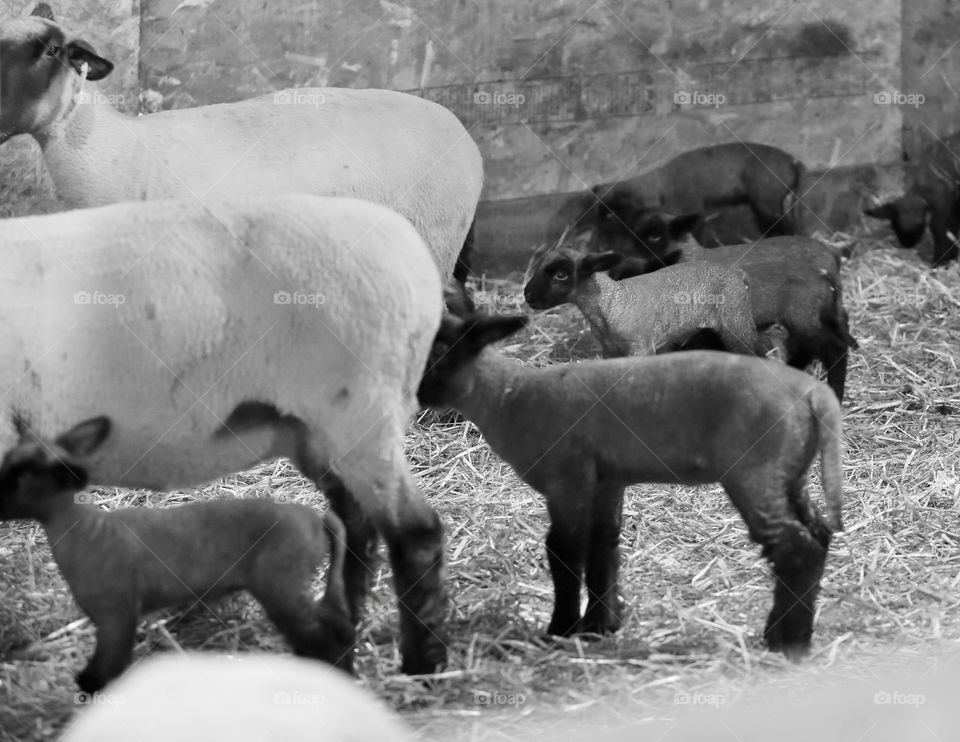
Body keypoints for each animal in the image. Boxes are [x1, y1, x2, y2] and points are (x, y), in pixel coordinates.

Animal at [0, 416, 355, 692]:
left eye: (22, 478)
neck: (86, 531)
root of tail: (316, 520)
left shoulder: (116, 616)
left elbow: (103, 673)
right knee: (335, 626)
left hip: (282, 585)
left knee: (324, 639)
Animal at [418, 313, 844, 659]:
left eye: (438, 351)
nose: (415, 393)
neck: (510, 396)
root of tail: (813, 394)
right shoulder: (605, 480)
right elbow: (603, 545)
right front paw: (600, 627)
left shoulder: (567, 479)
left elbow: (563, 551)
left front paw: (561, 630)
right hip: (790, 472)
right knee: (818, 535)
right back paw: (789, 632)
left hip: (755, 471)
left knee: (796, 548)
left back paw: (787, 643)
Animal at [523, 246, 761, 356]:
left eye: (560, 275)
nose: (527, 295)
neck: (611, 303)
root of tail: (738, 274)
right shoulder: (609, 351)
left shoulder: (640, 348)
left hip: (737, 323)